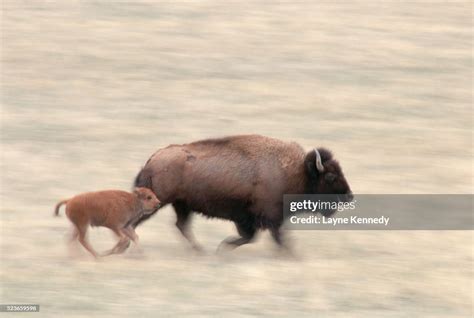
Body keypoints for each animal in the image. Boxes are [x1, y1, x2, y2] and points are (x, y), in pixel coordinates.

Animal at [133, 134, 352, 251]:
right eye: (330, 176)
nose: (349, 196)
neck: (298, 172)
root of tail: (152, 160)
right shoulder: (270, 217)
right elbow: (277, 238)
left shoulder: (247, 218)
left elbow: (250, 237)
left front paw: (222, 248)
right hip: (160, 202)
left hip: (182, 204)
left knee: (181, 225)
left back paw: (199, 250)